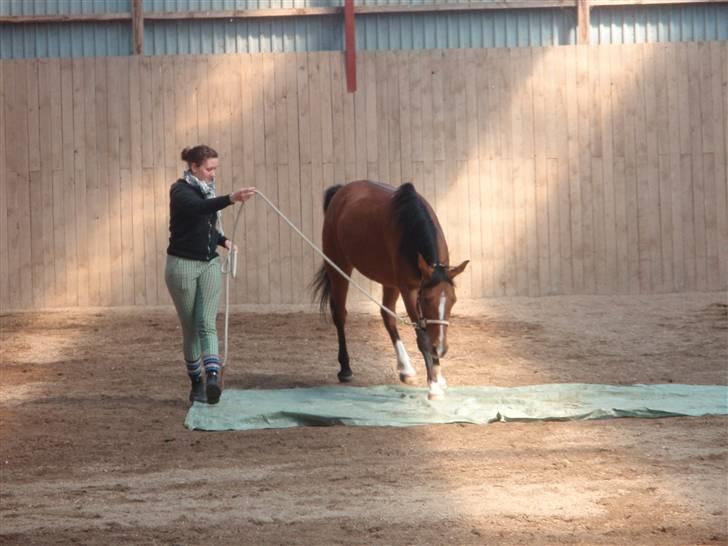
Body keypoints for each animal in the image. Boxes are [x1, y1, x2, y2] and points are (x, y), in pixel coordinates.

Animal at [312, 181, 470, 398]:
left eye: (453, 301)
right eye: (426, 300)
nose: (440, 349)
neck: (410, 227)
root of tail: (341, 190)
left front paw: (438, 375)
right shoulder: (409, 290)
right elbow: (423, 337)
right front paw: (433, 385)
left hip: (389, 281)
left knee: (387, 316)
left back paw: (406, 368)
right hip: (338, 265)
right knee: (340, 314)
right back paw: (345, 368)